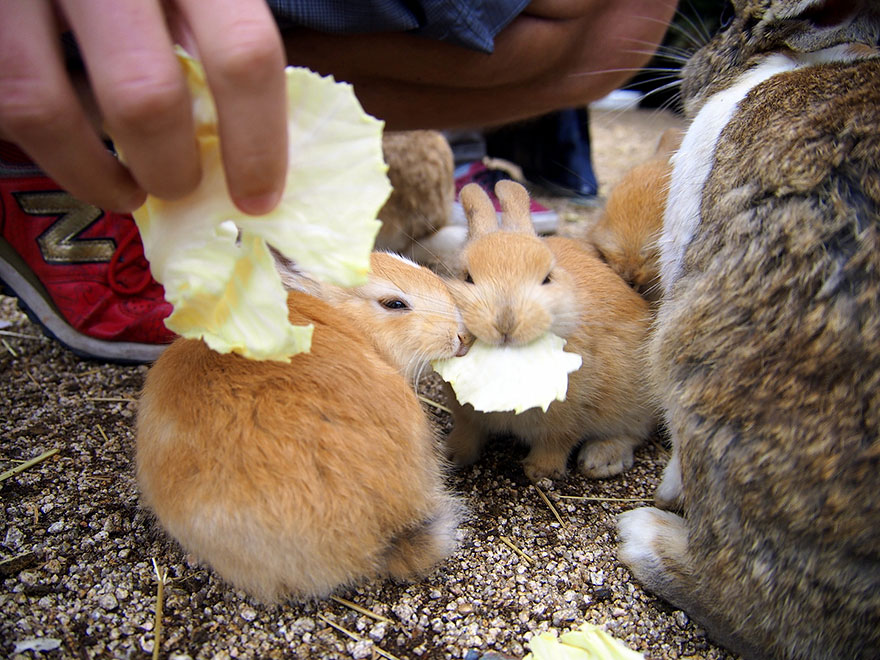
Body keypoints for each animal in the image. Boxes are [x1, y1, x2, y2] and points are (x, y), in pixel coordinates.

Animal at [442, 179, 656, 481]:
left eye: (547, 278)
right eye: (467, 278)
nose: (506, 322)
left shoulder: (566, 418)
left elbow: (557, 441)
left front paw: (540, 472)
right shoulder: (466, 416)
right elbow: (467, 433)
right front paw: (452, 456)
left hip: (631, 404)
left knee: (635, 432)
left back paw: (599, 460)